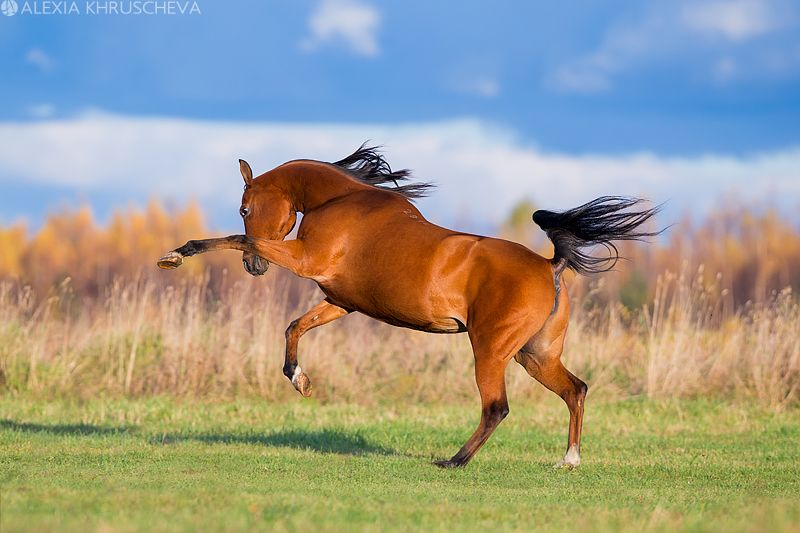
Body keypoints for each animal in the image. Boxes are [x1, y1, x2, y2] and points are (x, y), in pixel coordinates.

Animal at [158, 145, 659, 469]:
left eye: (244, 208)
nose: (254, 270)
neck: (343, 201)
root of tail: (550, 265)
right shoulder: (340, 301)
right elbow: (294, 327)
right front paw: (300, 380)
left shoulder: (305, 260)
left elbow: (235, 241)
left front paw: (176, 255)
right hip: (534, 354)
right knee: (576, 390)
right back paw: (569, 460)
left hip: (491, 350)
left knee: (497, 407)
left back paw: (454, 461)